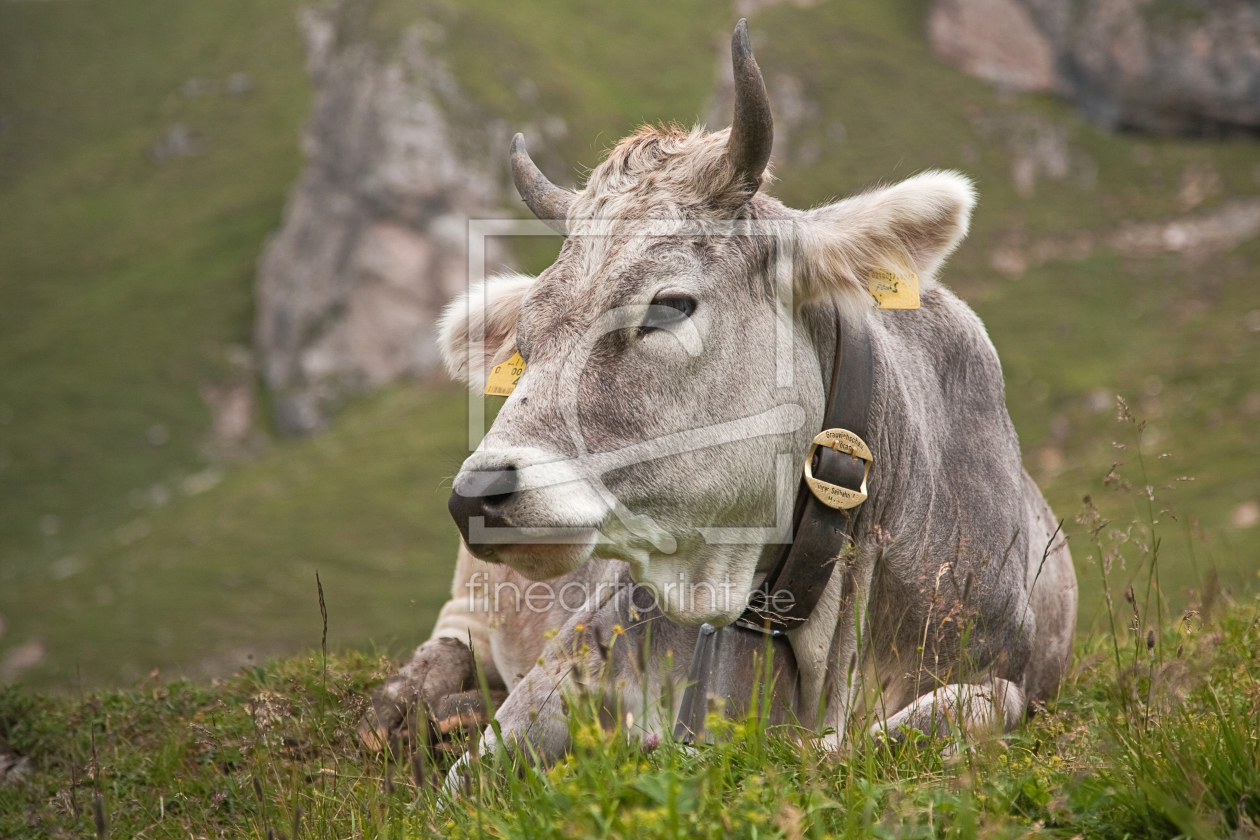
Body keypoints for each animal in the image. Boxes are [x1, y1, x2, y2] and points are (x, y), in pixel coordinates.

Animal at [362, 19, 1073, 770]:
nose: (477, 493)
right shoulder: (559, 676)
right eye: (526, 335)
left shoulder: (999, 676)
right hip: (470, 602)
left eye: (670, 305)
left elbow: (928, 724)